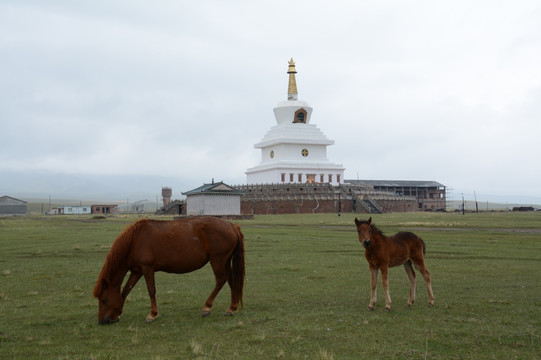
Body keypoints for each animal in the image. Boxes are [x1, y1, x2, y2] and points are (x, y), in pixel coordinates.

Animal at [93, 215, 245, 324]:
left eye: (104, 300)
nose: (102, 321)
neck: (134, 241)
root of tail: (232, 226)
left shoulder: (147, 269)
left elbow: (151, 291)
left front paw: (152, 314)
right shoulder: (137, 271)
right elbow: (125, 291)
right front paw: (118, 313)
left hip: (218, 260)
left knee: (221, 280)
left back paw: (207, 307)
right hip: (225, 261)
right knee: (231, 281)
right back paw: (231, 308)